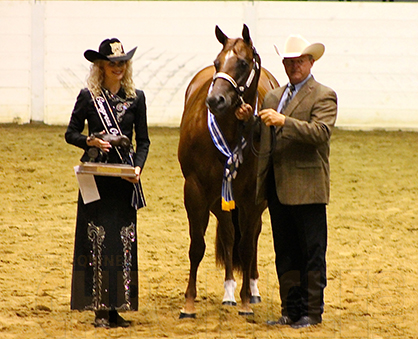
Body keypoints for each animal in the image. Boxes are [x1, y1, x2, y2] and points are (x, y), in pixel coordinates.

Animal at [178, 24, 280, 318]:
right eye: (217, 63)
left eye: (243, 63)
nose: (215, 100)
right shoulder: (196, 190)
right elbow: (197, 246)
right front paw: (189, 303)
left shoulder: (252, 198)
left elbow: (246, 246)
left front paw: (246, 301)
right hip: (219, 200)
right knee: (227, 233)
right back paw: (228, 292)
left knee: (252, 236)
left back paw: (251, 291)